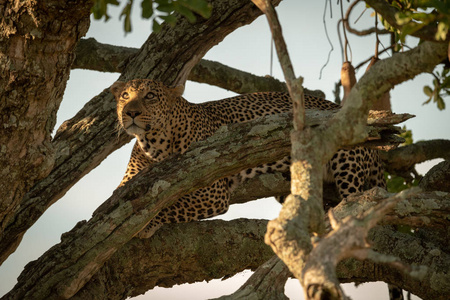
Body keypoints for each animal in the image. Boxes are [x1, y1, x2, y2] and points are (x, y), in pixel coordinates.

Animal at [110, 78, 384, 238]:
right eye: (125, 96)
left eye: (150, 96)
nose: (130, 112)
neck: (152, 142)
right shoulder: (127, 185)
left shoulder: (212, 191)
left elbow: (171, 204)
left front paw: (146, 224)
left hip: (347, 161)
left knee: (355, 201)